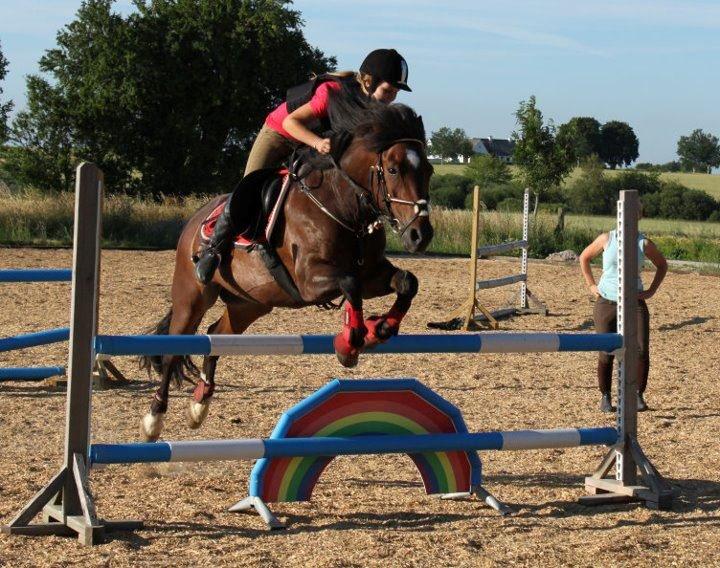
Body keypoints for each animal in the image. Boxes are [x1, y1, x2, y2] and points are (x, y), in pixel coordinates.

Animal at [140, 102, 434, 442]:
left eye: (429, 170)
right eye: (394, 169)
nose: (421, 236)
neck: (343, 206)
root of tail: (195, 219)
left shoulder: (372, 274)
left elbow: (407, 282)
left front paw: (380, 329)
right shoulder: (309, 281)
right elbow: (350, 284)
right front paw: (350, 344)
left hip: (249, 304)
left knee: (216, 335)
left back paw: (199, 403)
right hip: (192, 296)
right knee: (173, 350)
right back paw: (153, 420)